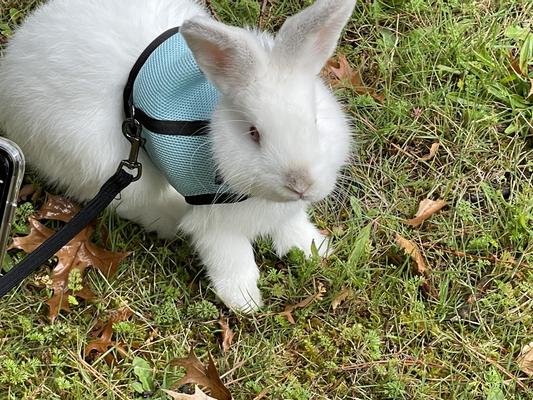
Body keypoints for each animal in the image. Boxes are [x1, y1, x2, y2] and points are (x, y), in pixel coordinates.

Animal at [1, 0, 358, 310]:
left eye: (315, 121)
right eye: (254, 133)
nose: (300, 183)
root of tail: (19, 53)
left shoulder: (284, 213)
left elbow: (292, 226)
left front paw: (315, 250)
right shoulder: (216, 226)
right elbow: (233, 259)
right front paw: (244, 301)